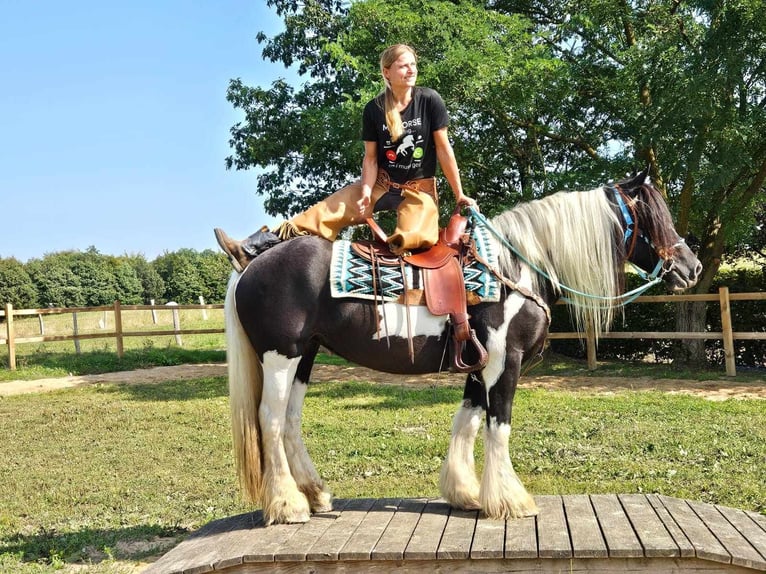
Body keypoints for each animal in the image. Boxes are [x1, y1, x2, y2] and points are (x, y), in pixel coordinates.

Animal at [222, 172, 704, 528]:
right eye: (653, 217)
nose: (692, 268)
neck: (517, 266)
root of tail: (252, 265)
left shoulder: (478, 364)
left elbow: (467, 421)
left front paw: (466, 494)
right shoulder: (504, 362)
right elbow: (498, 426)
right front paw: (510, 501)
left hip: (304, 356)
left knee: (289, 421)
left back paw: (316, 494)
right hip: (281, 356)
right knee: (270, 419)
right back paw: (289, 506)